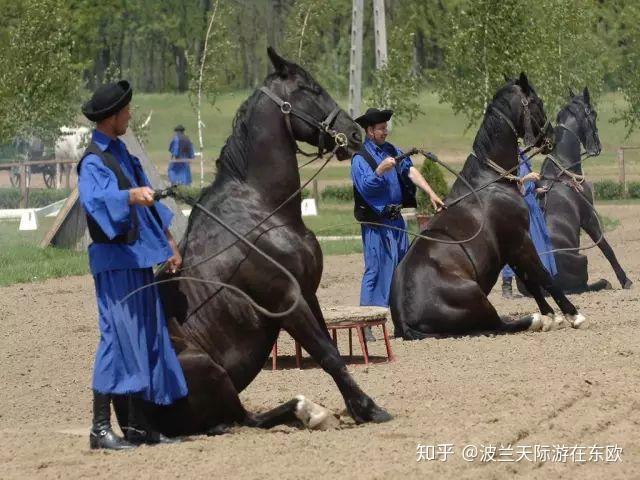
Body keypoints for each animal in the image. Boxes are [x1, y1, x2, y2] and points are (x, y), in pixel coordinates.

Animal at [121, 48, 391, 436]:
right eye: (311, 89)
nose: (355, 134)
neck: (261, 208)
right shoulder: (287, 300)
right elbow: (328, 355)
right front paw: (369, 408)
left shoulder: (308, 294)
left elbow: (331, 349)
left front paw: (355, 407)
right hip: (210, 369)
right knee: (241, 419)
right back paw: (309, 412)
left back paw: (308, 410)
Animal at [390, 73, 587, 339]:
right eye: (537, 102)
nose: (551, 137)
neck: (491, 180)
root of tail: (404, 319)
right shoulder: (520, 241)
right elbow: (543, 276)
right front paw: (572, 315)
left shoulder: (511, 248)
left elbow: (531, 280)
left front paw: (551, 316)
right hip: (477, 296)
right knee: (496, 325)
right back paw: (532, 320)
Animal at [535, 88, 632, 293]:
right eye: (593, 113)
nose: (597, 147)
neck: (564, 170)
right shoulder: (589, 218)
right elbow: (606, 248)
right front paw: (625, 280)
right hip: (582, 259)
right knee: (585, 286)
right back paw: (605, 282)